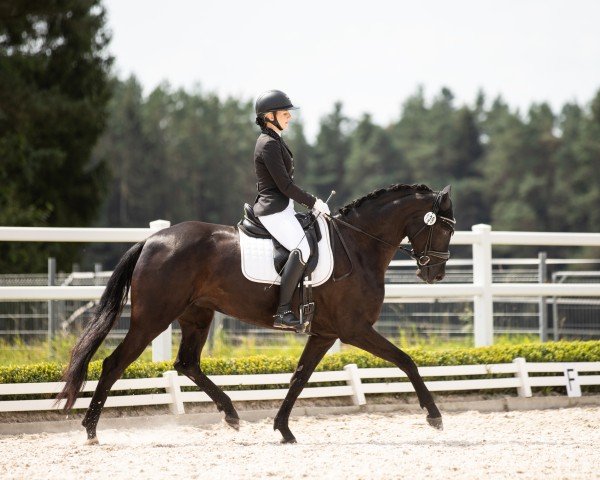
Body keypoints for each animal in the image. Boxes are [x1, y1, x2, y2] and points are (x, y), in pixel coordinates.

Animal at [57, 183, 454, 442]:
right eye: (444, 227)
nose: (435, 274)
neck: (357, 247)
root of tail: (152, 240)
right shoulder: (354, 328)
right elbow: (406, 361)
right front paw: (434, 416)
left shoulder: (325, 333)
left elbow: (299, 377)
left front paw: (283, 429)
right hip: (153, 318)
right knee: (114, 364)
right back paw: (90, 430)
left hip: (197, 316)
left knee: (187, 364)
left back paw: (231, 414)